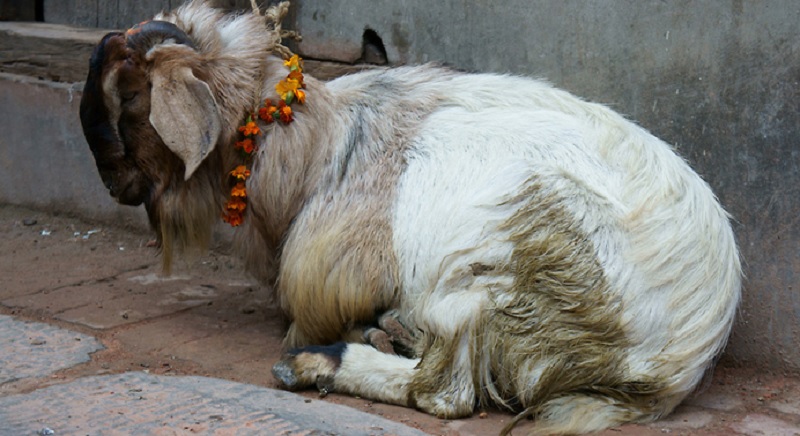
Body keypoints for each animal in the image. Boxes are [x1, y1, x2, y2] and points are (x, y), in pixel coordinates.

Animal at [78, 1, 740, 434]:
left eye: (131, 95)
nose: (110, 182)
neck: (319, 146)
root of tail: (667, 373)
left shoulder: (333, 272)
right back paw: (391, 333)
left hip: (510, 268)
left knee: (445, 393)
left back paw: (322, 362)